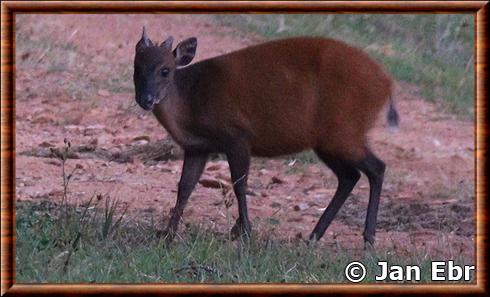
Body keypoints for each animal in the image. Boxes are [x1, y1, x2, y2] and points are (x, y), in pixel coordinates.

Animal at [133, 27, 398, 245]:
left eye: (165, 70)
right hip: (328, 140)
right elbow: (185, 187)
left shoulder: (238, 136)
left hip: (343, 132)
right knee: (349, 176)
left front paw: (244, 232)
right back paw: (314, 236)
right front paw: (167, 235)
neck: (191, 102)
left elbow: (240, 184)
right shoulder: (198, 147)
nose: (146, 99)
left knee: (376, 167)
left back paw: (368, 238)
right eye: (137, 68)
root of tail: (387, 84)